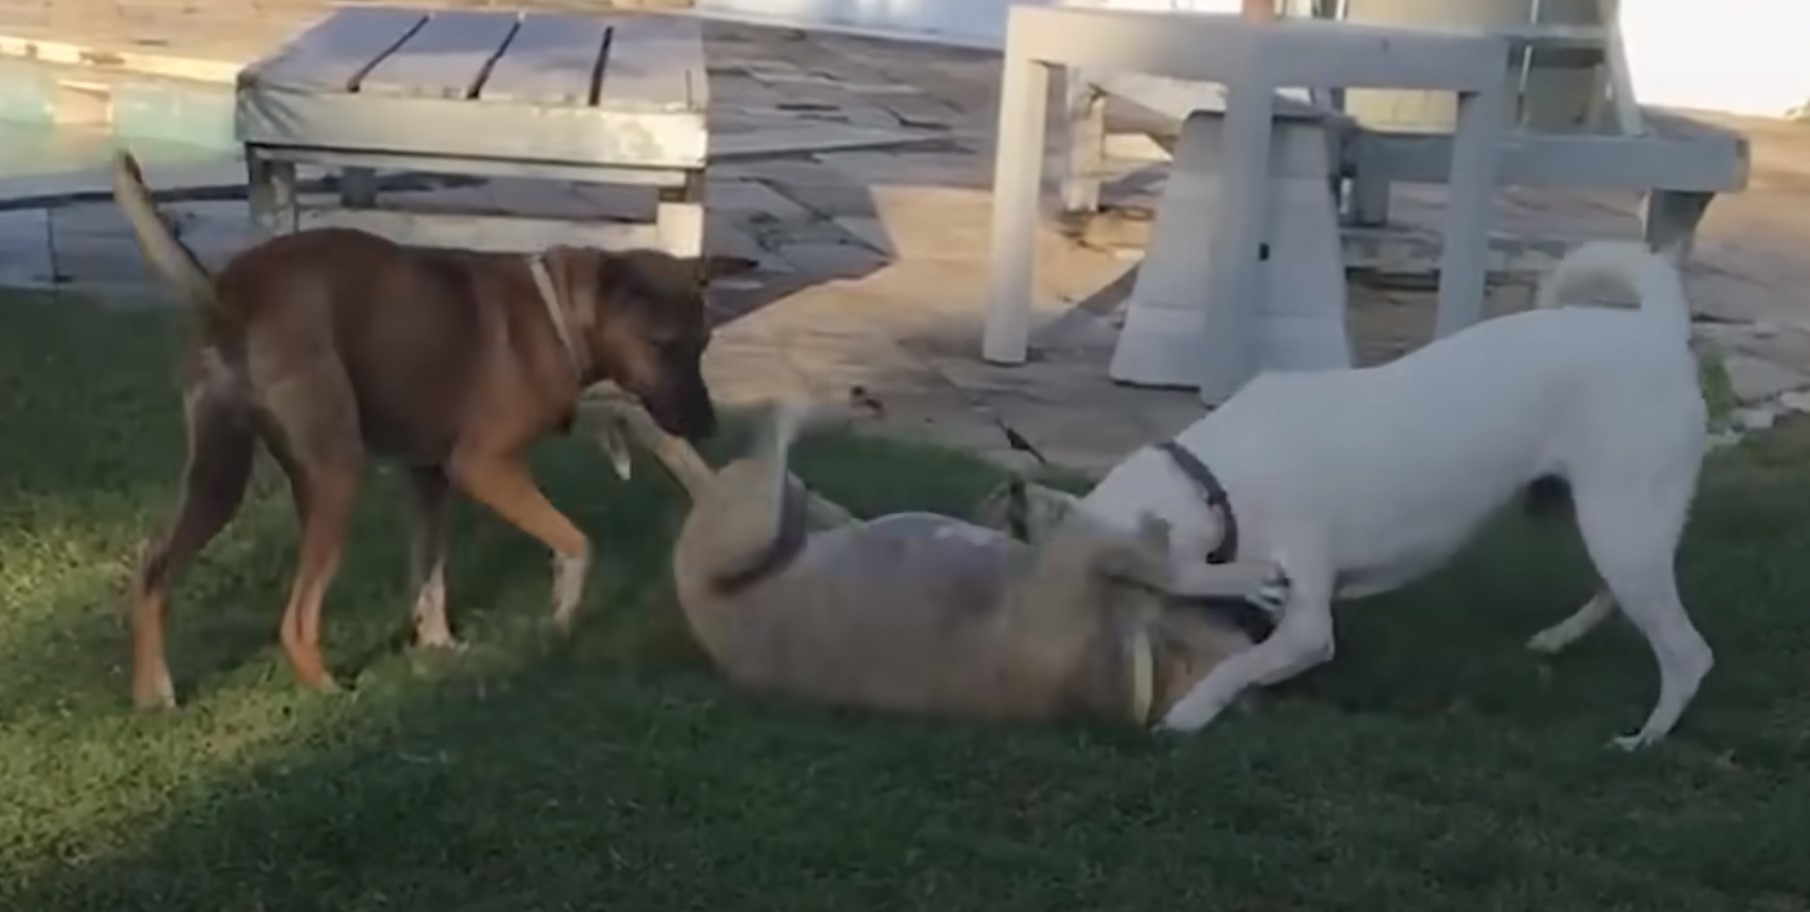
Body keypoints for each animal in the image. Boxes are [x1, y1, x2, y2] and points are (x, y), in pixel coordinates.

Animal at [109, 149, 745, 709]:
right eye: (663, 345)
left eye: (704, 343)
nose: (709, 426)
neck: (558, 315)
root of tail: (230, 292)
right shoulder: (485, 468)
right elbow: (575, 541)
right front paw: (562, 611)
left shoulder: (430, 475)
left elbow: (431, 570)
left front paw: (436, 645)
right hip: (336, 473)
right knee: (295, 617)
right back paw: (325, 689)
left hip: (220, 474)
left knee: (153, 566)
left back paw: (153, 694)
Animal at [582, 392, 1288, 727]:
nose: (1013, 491)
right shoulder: (1075, 559)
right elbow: (1145, 556)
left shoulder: (1075, 561)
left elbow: (1150, 560)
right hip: (776, 512)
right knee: (761, 437)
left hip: (753, 515)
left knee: (762, 437)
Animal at [1071, 242, 1708, 749]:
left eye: (1123, 578)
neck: (1215, 478)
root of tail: (1656, 328)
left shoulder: (1307, 624)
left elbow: (1243, 659)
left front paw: (1189, 712)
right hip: (1614, 522)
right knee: (1617, 594)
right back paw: (1557, 640)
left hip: (1619, 523)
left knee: (1687, 654)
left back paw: (1644, 739)